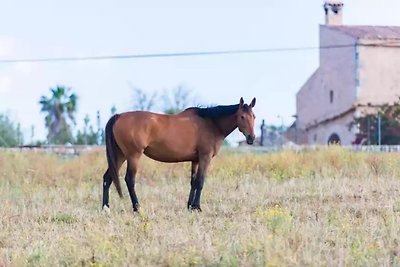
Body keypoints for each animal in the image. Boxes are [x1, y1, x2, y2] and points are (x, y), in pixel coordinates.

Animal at [101, 97, 256, 213]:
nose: (251, 138)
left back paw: (106, 208)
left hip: (120, 155)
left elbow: (193, 182)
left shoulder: (195, 160)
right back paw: (137, 208)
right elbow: (200, 181)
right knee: (129, 179)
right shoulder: (205, 157)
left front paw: (190, 206)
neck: (211, 123)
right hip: (133, 156)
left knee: (107, 178)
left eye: (254, 116)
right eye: (242, 116)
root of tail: (118, 116)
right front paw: (197, 207)